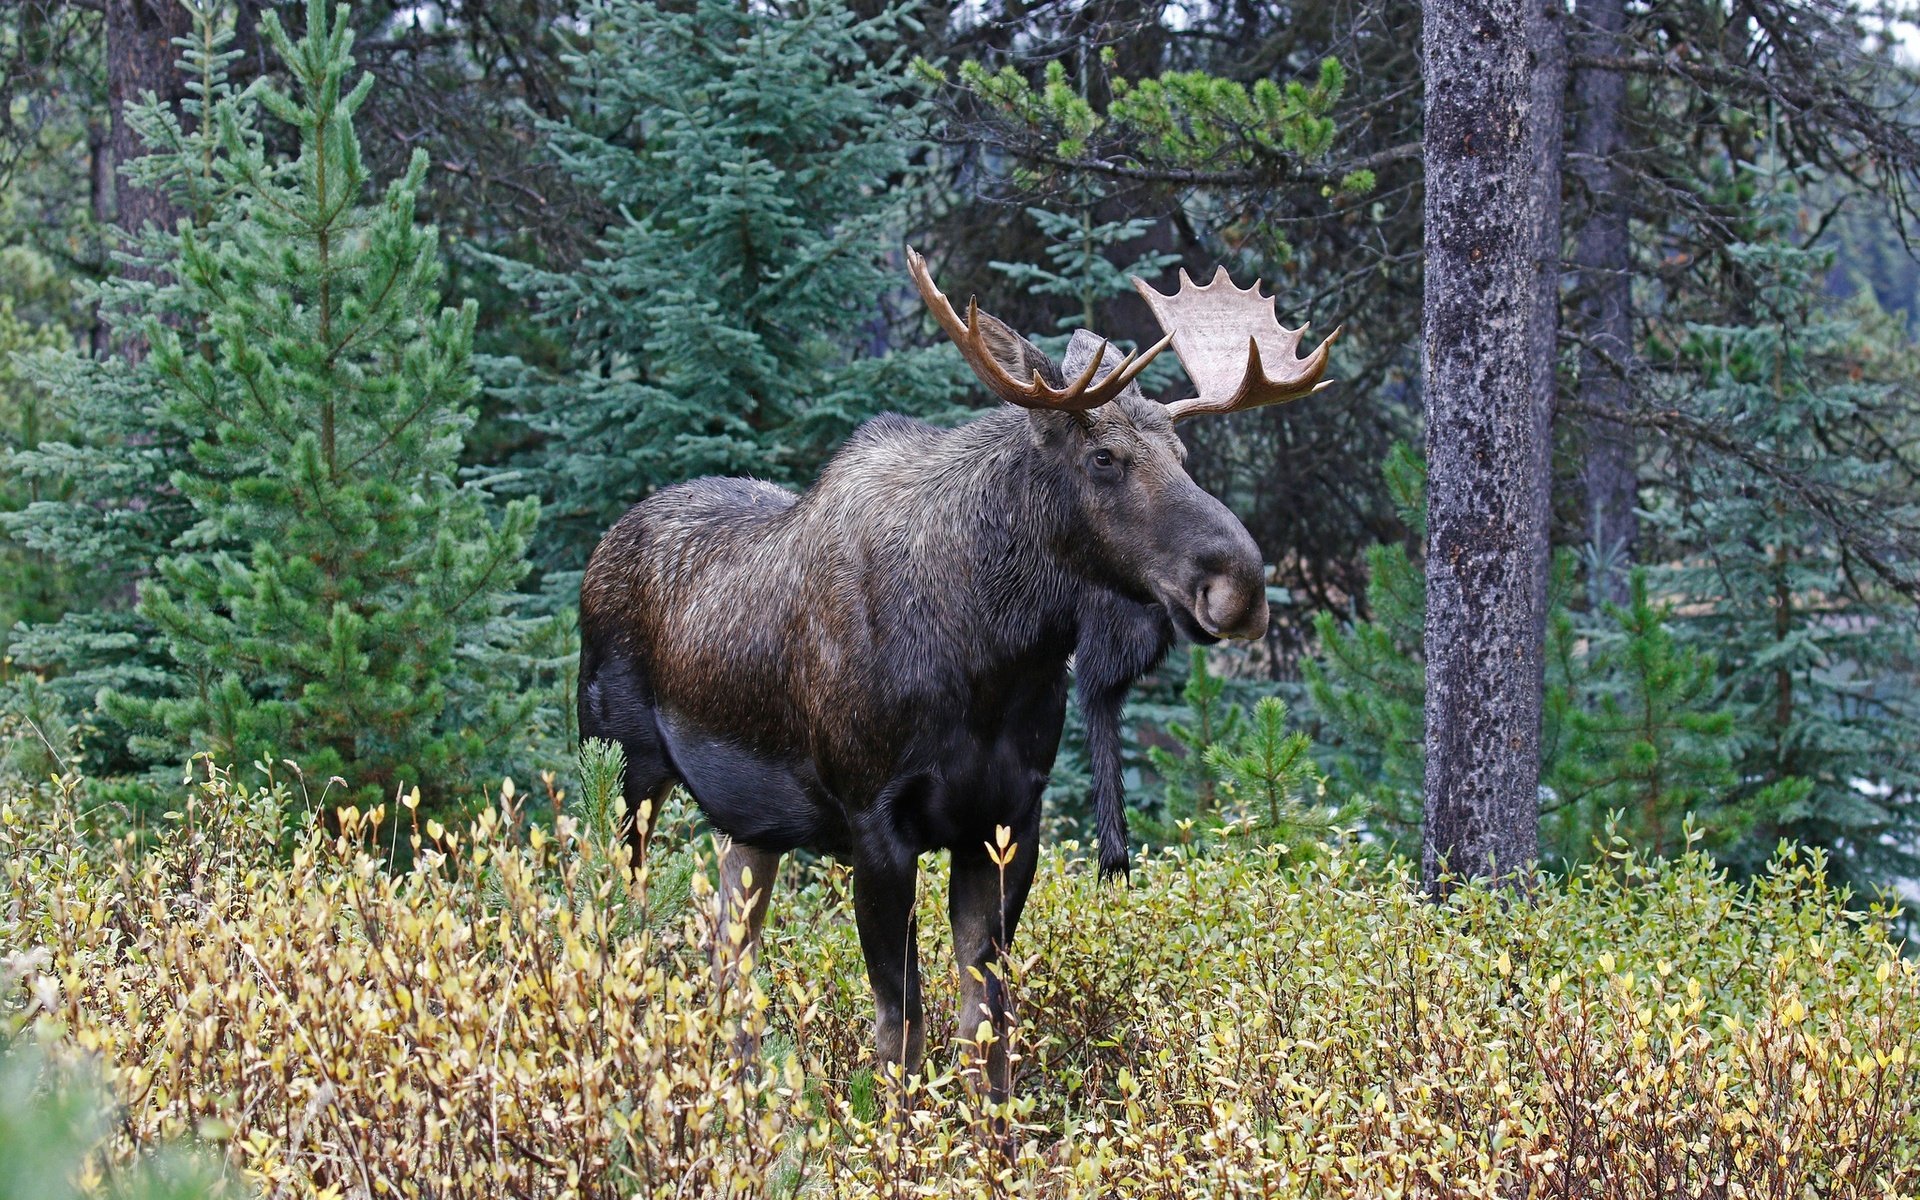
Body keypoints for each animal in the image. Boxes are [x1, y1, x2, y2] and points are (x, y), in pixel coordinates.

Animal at [572, 247, 1336, 1098]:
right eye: (1103, 458)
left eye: (1183, 456)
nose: (1241, 585)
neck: (993, 665)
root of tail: (603, 548)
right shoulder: (876, 821)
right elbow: (900, 1029)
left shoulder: (1007, 820)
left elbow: (986, 1029)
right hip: (624, 768)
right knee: (622, 922)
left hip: (754, 821)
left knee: (728, 945)